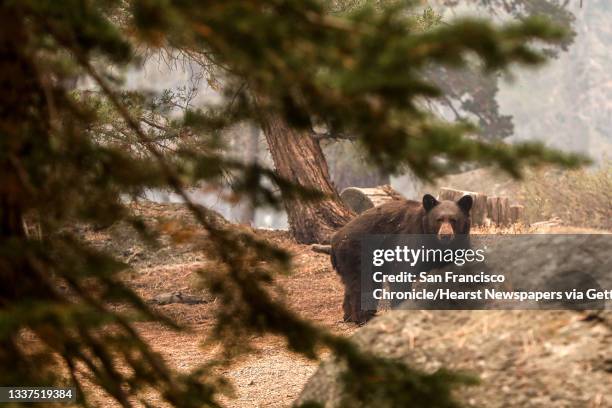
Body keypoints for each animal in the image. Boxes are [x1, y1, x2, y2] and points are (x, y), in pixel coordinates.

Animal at [332, 193, 470, 324]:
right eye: (439, 220)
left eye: (453, 220)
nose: (445, 235)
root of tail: (335, 239)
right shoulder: (409, 239)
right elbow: (401, 276)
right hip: (359, 254)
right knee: (363, 285)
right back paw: (364, 317)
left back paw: (349, 316)